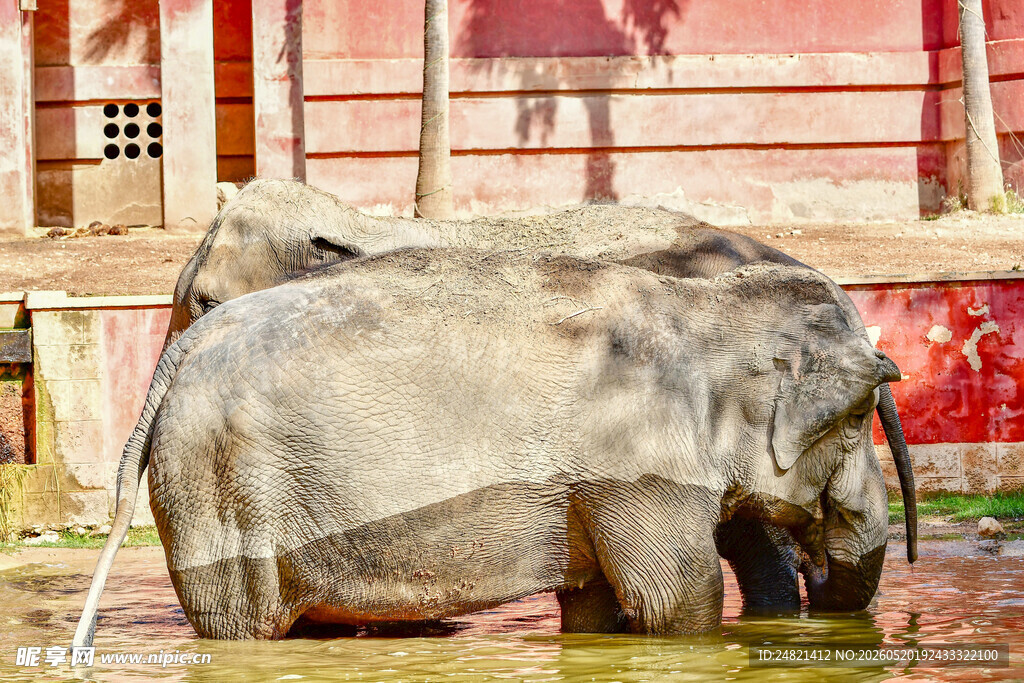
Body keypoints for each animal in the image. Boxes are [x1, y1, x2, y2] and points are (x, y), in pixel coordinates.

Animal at [75, 252, 901, 642]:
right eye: (859, 416)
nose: (816, 570)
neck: (701, 302)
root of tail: (177, 353)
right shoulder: (638, 465)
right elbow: (678, 598)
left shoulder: (590, 482)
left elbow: (594, 605)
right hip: (218, 483)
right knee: (241, 621)